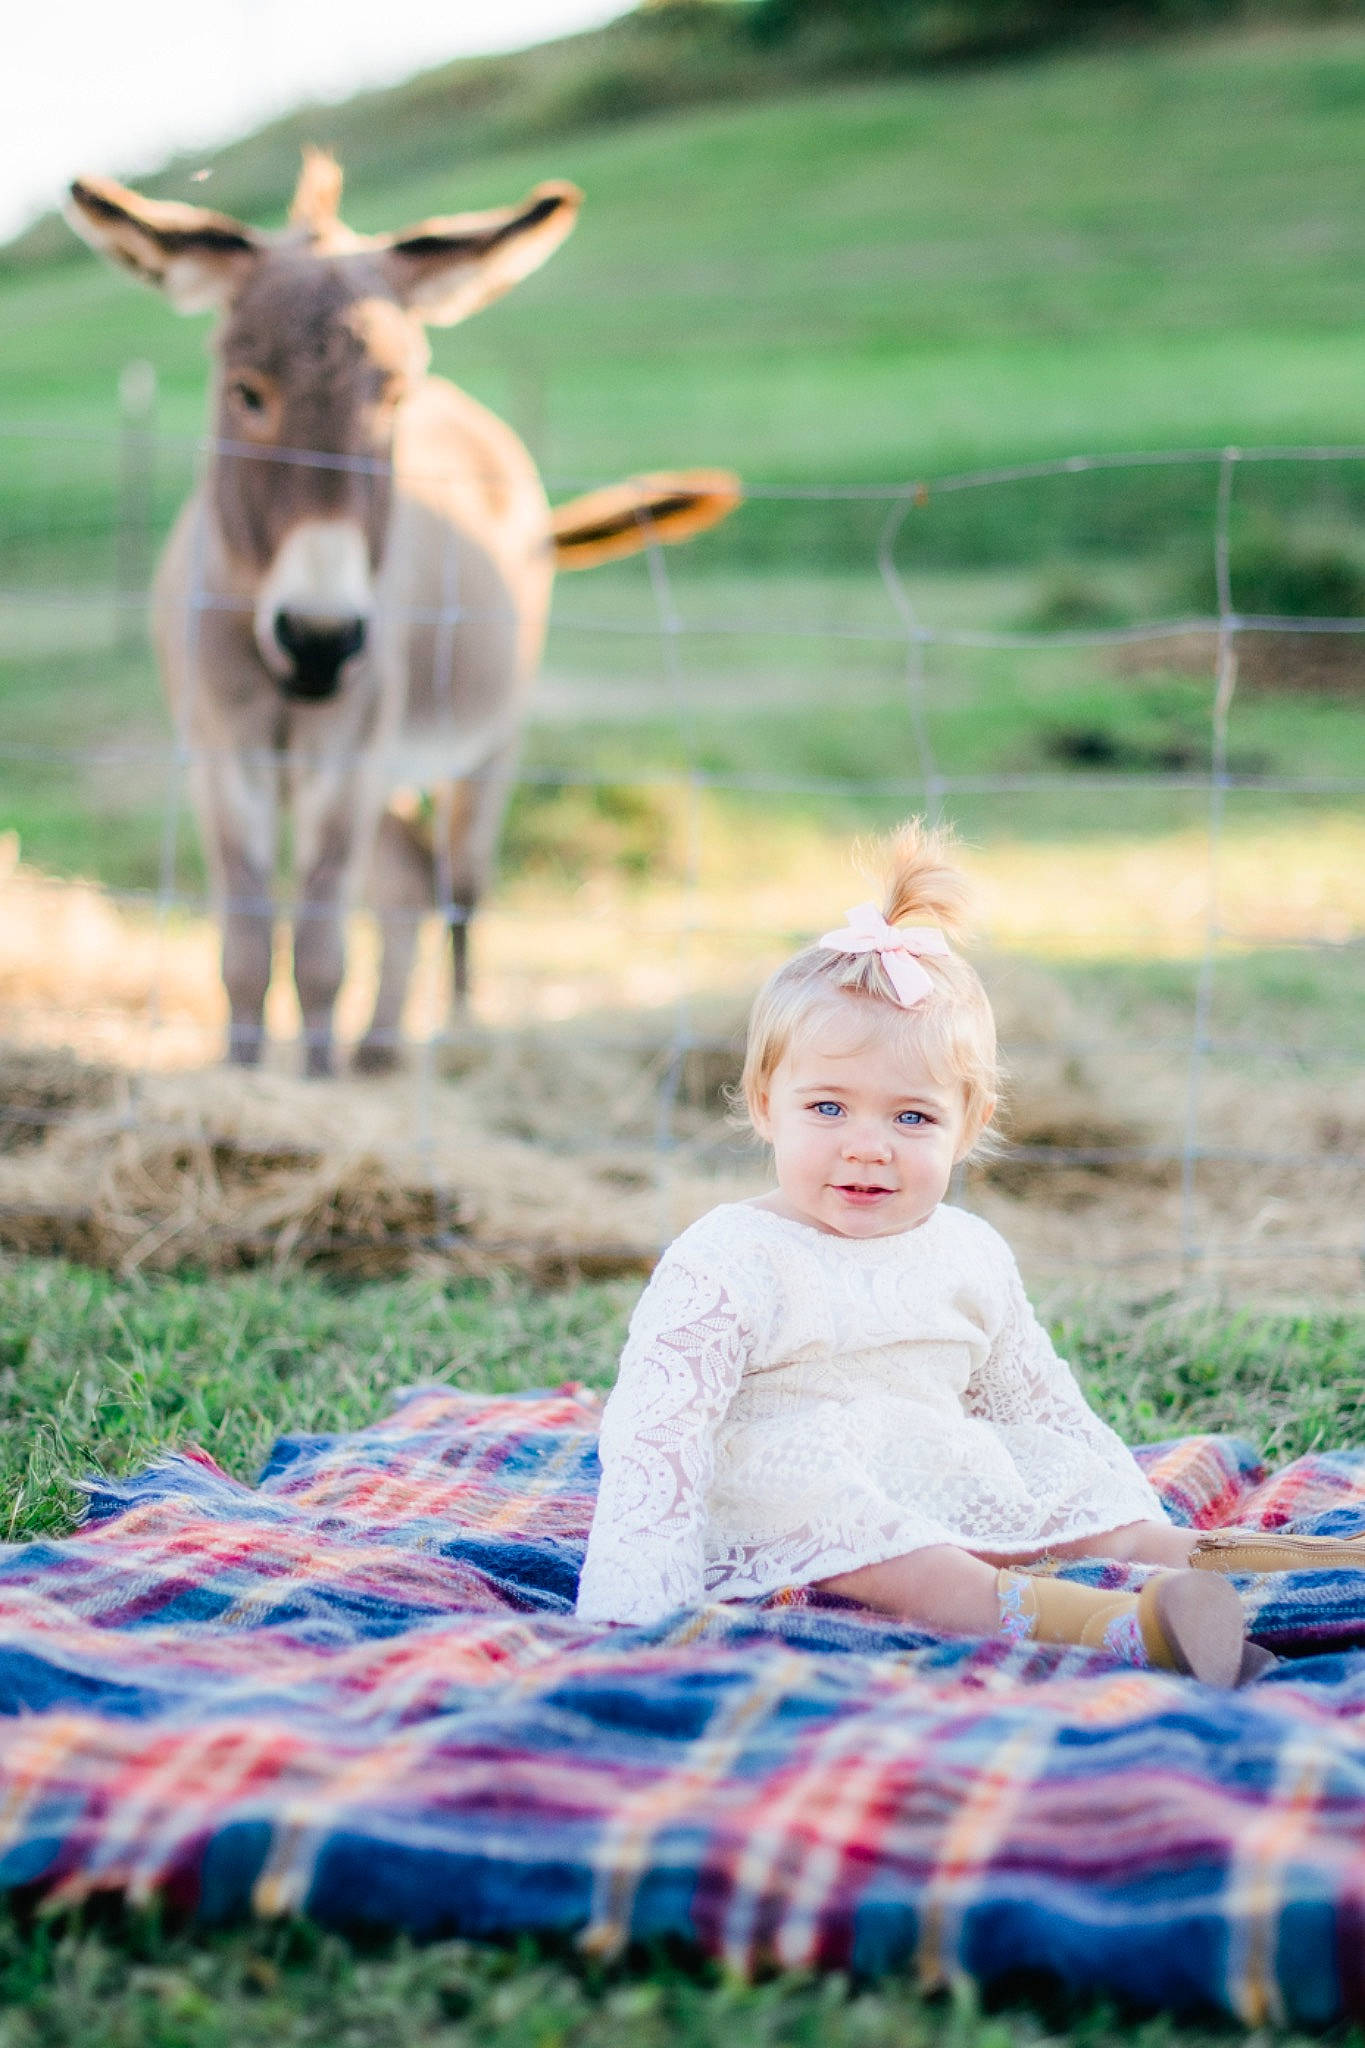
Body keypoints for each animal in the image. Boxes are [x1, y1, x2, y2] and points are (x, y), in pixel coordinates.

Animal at [66, 152, 738, 1075]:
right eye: (247, 393)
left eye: (390, 399)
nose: (320, 640)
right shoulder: (221, 755)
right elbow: (245, 948)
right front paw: (241, 1076)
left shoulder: (348, 761)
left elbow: (319, 952)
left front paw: (314, 1086)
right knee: (409, 882)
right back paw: (382, 1047)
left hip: (484, 747)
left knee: (456, 885)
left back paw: (448, 1030)